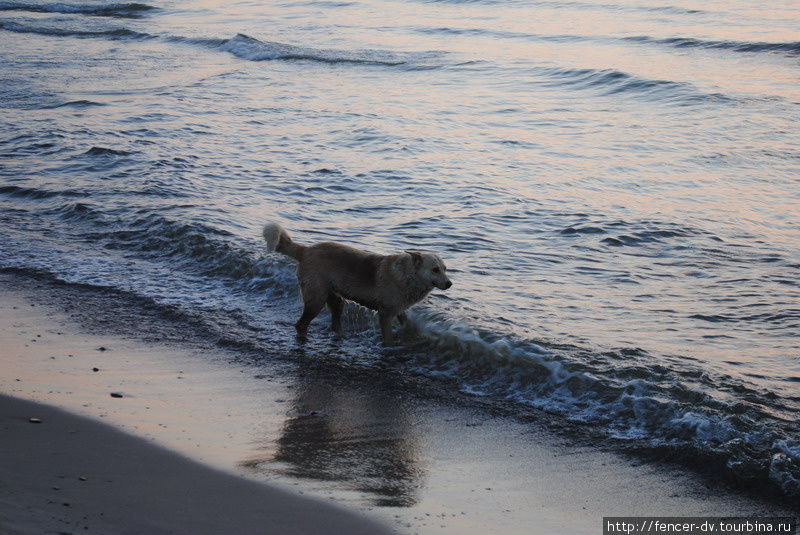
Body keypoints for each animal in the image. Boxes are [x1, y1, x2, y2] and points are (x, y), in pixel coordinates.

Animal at [262, 223, 450, 346]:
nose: (449, 284)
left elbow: (406, 322)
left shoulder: (398, 310)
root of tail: (306, 250)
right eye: (435, 270)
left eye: (445, 269)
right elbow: (388, 339)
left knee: (335, 322)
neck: (409, 275)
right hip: (316, 299)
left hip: (336, 300)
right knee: (301, 324)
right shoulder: (385, 315)